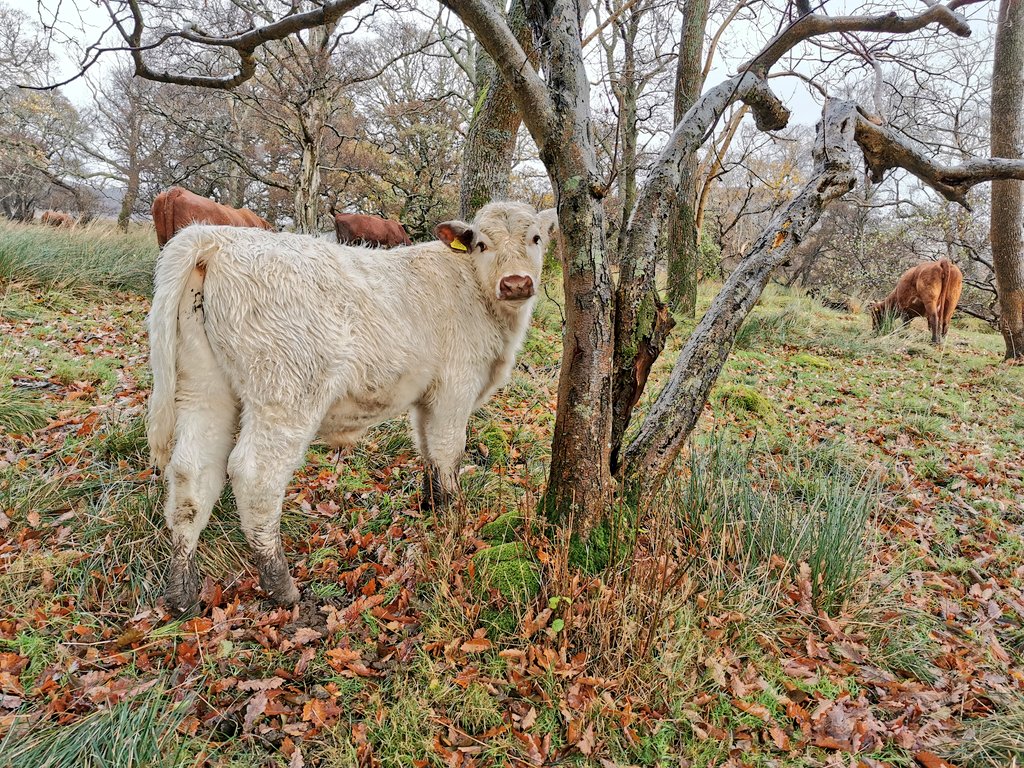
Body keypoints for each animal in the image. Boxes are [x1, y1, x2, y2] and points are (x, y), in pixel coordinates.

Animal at [148, 201, 557, 618]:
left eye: (535, 238)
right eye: (482, 244)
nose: (516, 283)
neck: (476, 291)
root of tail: (217, 238)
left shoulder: (425, 396)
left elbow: (426, 448)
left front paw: (430, 504)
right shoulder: (454, 388)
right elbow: (447, 453)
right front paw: (453, 516)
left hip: (203, 387)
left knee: (191, 474)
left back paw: (181, 592)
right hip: (285, 393)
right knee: (254, 478)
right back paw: (281, 585)